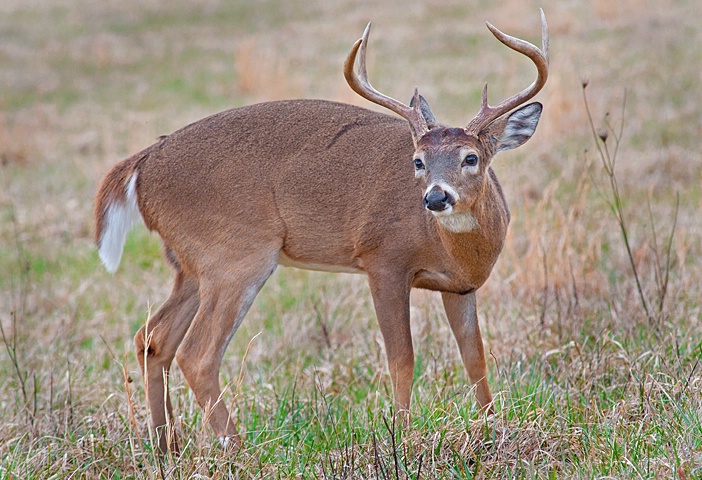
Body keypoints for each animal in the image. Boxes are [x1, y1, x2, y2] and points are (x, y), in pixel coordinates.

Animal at [95, 12, 552, 454]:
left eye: (471, 157)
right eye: (418, 161)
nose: (436, 197)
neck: (454, 250)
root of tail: (143, 164)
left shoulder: (460, 285)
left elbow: (475, 358)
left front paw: (493, 431)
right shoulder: (382, 260)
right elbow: (402, 358)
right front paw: (403, 440)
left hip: (190, 265)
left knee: (153, 338)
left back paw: (165, 446)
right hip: (235, 255)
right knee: (197, 353)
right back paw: (237, 449)